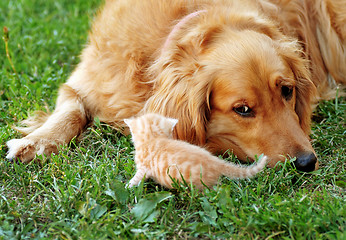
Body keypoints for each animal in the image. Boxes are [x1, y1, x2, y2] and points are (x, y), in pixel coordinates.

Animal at [6, 0, 346, 172]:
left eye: (287, 91)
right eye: (243, 110)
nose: (307, 162)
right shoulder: (87, 79)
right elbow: (72, 109)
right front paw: (36, 141)